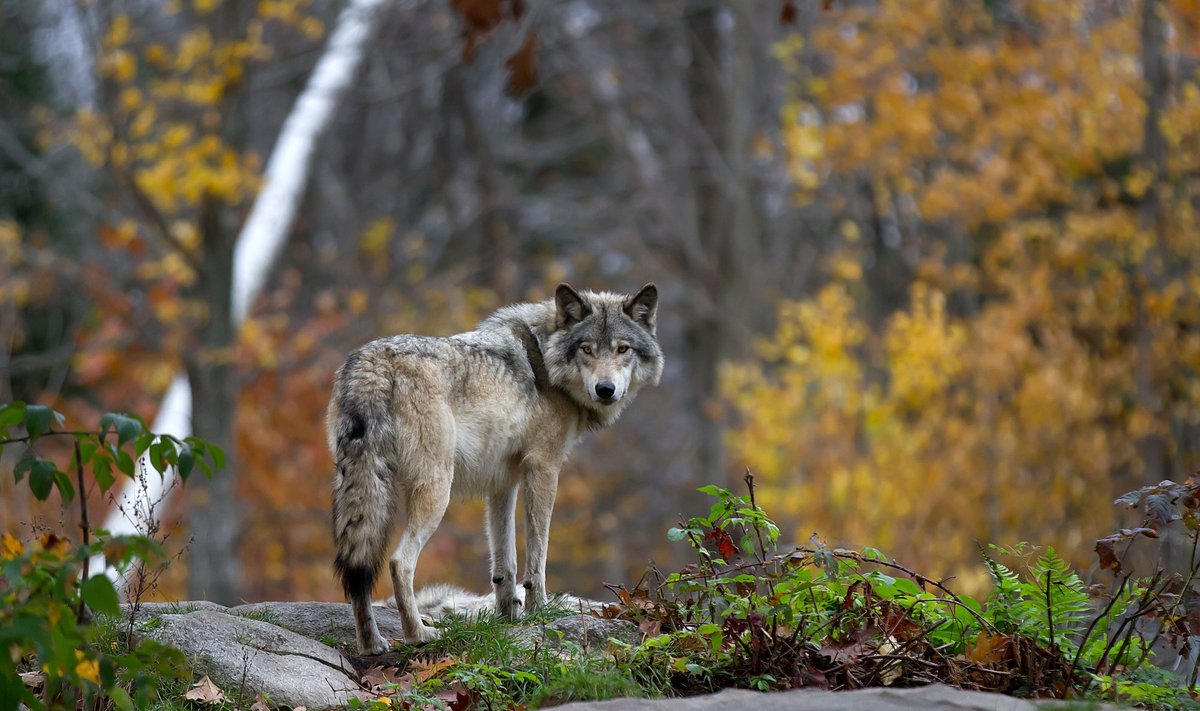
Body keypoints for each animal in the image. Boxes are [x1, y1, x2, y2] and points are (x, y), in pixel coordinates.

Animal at [328, 282, 662, 653]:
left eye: (622, 349)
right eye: (587, 349)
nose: (605, 390)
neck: (545, 359)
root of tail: (372, 363)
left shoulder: (502, 482)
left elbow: (506, 563)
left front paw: (508, 618)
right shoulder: (544, 469)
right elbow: (537, 557)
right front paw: (537, 612)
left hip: (361, 488)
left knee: (357, 570)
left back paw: (371, 644)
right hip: (436, 491)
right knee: (400, 562)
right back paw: (419, 635)